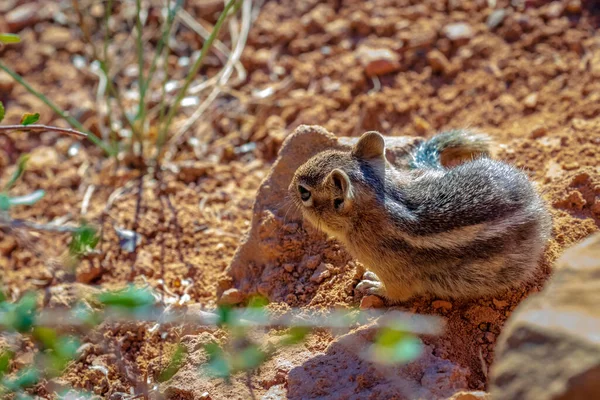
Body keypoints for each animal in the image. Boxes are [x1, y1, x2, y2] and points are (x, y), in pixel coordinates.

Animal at [290, 130, 552, 302]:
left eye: (304, 193)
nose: (290, 187)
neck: (384, 195)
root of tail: (536, 203)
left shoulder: (393, 273)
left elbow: (397, 293)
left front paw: (373, 285)